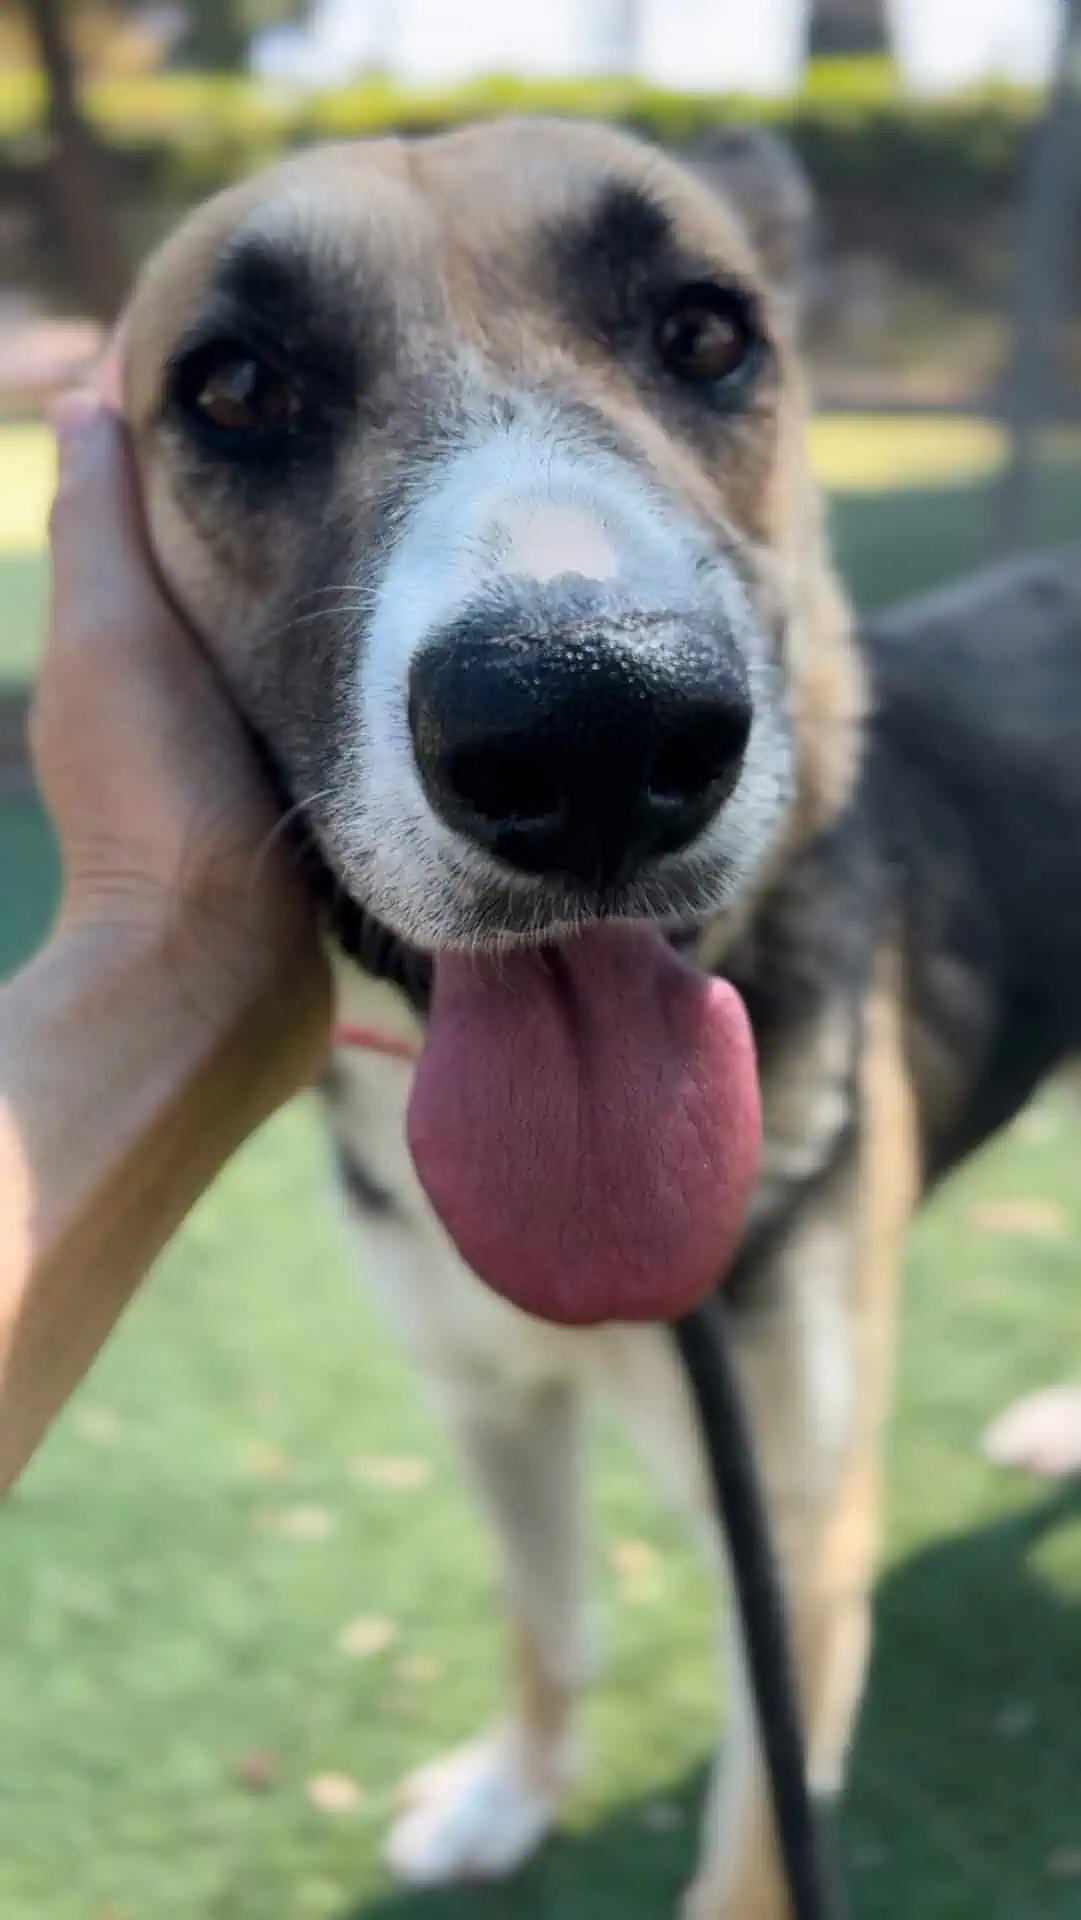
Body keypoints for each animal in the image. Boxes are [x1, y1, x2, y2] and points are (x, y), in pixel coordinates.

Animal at [118, 123, 1081, 1920]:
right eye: (236, 385)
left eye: (705, 335)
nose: (590, 727)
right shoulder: (483, 1398)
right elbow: (545, 1621)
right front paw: (513, 1798)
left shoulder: (795, 1537)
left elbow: (754, 1853)